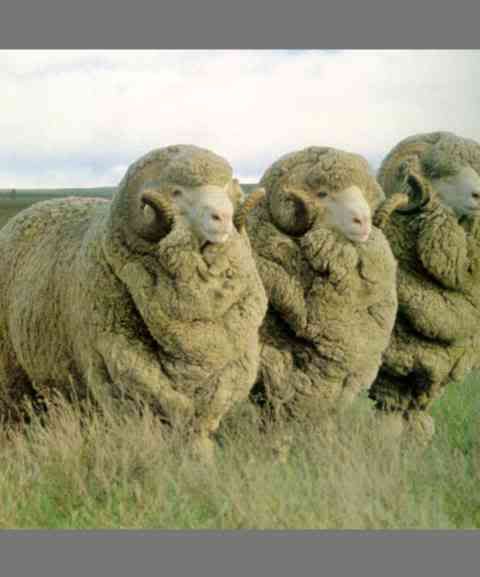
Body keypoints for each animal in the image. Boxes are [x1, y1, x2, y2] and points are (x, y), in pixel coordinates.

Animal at [0, 144, 270, 460]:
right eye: (176, 192)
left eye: (227, 188)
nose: (223, 216)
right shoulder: (117, 367)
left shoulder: (222, 380)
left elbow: (198, 427)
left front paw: (201, 462)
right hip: (11, 375)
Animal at [370, 132, 480, 446]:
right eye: (440, 172)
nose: (479, 195)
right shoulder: (392, 366)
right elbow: (390, 419)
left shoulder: (437, 365)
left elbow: (417, 417)